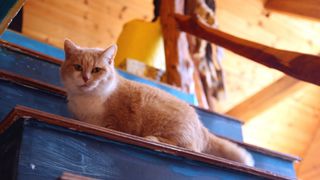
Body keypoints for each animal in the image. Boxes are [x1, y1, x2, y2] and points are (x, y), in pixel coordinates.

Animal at [61, 39, 254, 166]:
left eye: (96, 70)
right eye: (78, 67)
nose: (86, 78)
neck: (87, 99)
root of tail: (201, 126)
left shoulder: (116, 122)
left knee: (186, 148)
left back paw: (153, 139)